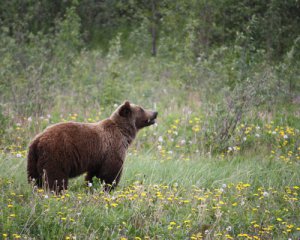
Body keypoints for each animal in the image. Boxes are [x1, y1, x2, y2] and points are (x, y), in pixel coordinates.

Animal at [27, 100, 158, 192]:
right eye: (141, 109)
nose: (155, 112)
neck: (123, 133)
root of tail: (38, 140)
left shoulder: (98, 157)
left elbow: (93, 174)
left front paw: (90, 187)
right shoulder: (112, 149)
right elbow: (110, 173)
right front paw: (108, 188)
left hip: (33, 159)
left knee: (34, 179)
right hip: (57, 155)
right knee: (56, 178)